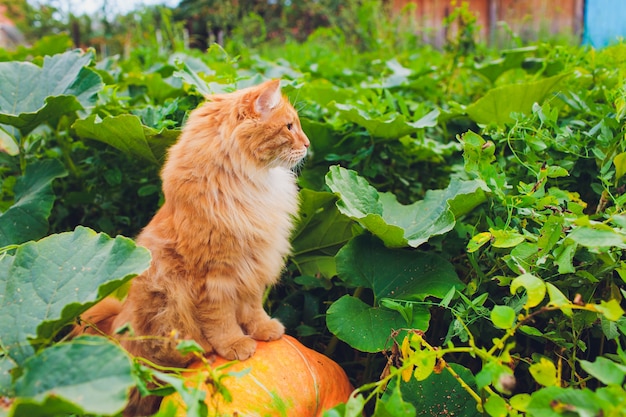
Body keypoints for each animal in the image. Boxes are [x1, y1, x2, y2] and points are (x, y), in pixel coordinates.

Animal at [80, 79, 310, 368]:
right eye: (289, 127)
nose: (308, 144)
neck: (247, 182)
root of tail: (115, 327)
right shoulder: (214, 276)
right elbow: (221, 320)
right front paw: (235, 344)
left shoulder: (253, 267)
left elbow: (253, 308)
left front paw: (264, 329)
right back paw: (202, 352)